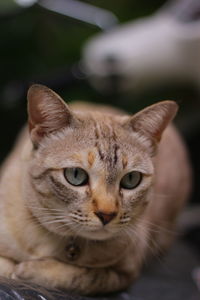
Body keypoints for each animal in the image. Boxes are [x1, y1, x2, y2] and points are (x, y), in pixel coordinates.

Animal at [0, 85, 191, 296]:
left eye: (131, 179)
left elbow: (82, 276)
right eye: (76, 175)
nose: (106, 215)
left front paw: (26, 270)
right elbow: (5, 265)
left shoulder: (125, 274)